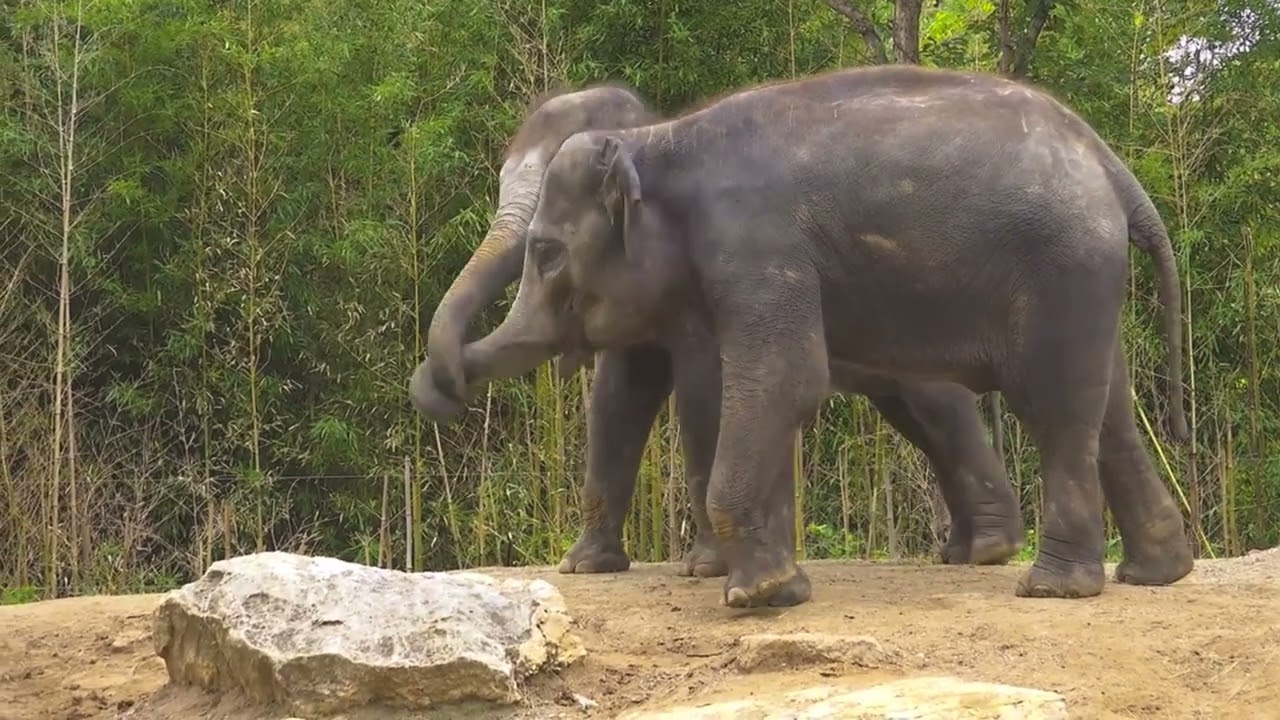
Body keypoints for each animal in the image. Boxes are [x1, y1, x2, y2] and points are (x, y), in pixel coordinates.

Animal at [412, 64, 1198, 609]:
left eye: (544, 251)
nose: (439, 390)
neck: (658, 138)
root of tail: (1112, 165)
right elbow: (632, 398)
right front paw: (599, 569)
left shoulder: (752, 247)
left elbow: (759, 382)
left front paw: (738, 586)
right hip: (1082, 277)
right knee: (1105, 412)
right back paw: (1149, 571)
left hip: (1059, 266)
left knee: (1048, 404)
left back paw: (1047, 585)